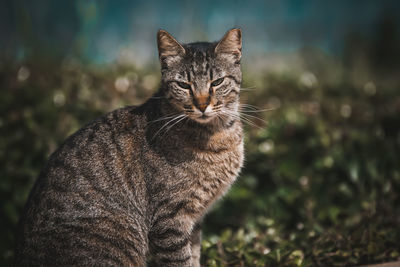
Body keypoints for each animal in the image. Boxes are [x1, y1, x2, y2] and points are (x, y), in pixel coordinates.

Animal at [15, 28, 244, 266]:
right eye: (183, 85)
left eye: (217, 82)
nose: (202, 105)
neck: (218, 135)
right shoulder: (169, 221)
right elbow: (181, 260)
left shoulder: (194, 220)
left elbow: (195, 256)